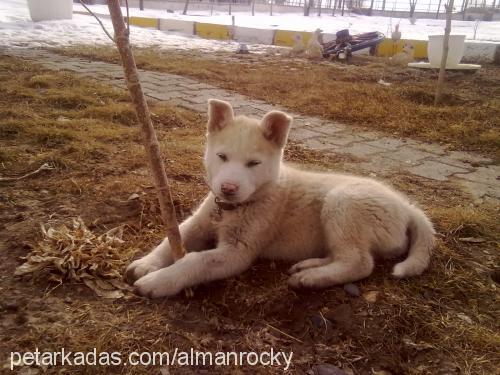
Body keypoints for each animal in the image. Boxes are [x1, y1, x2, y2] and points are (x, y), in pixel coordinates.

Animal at [126, 100, 434, 300]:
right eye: (221, 156)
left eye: (253, 163)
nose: (227, 188)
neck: (232, 209)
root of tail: (407, 207)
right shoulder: (198, 223)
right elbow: (171, 239)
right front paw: (147, 264)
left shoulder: (238, 252)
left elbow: (195, 261)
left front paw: (158, 281)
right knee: (345, 256)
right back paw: (308, 266)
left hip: (343, 204)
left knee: (359, 262)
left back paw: (311, 279)